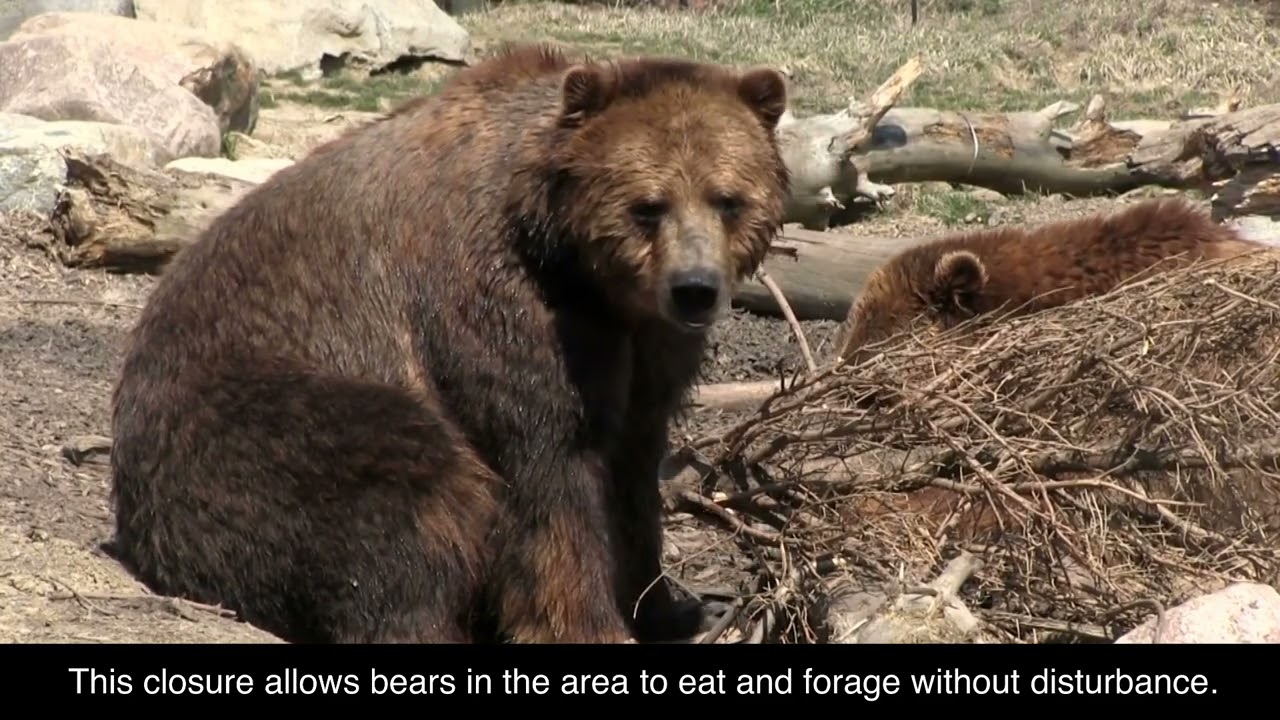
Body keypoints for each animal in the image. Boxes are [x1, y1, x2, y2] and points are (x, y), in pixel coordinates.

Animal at [106, 42, 791, 644]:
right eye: (648, 205)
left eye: (727, 199)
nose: (695, 289)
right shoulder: (499, 304)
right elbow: (550, 469)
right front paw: (591, 625)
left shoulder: (647, 346)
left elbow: (634, 465)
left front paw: (675, 608)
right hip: (256, 410)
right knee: (406, 483)